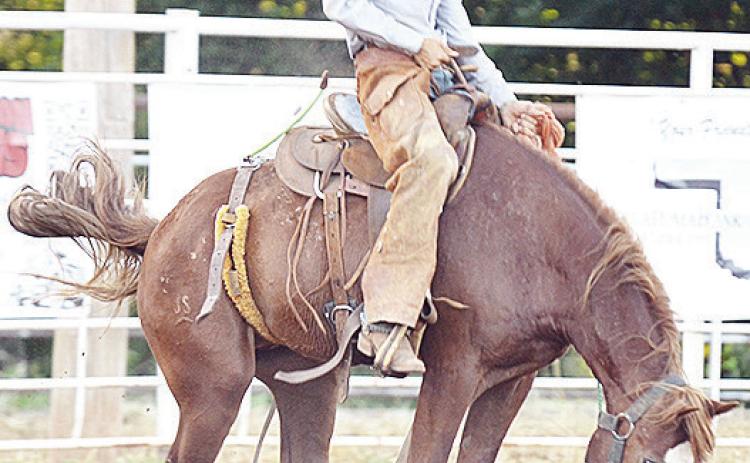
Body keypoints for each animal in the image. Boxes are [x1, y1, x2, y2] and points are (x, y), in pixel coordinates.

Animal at [7, 123, 736, 463]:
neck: (539, 239)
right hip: (213, 387)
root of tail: (163, 230)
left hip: (304, 385)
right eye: (645, 456)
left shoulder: (513, 379)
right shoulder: (452, 369)